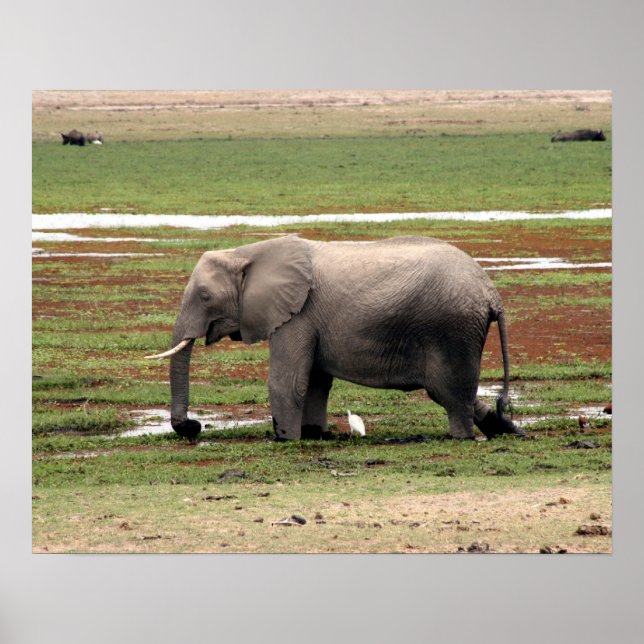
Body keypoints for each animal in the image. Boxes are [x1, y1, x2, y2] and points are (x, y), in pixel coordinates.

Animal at [146, 235, 526, 442]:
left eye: (205, 297)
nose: (193, 426)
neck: (247, 252)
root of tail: (491, 293)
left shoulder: (297, 314)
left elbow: (288, 381)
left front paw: (285, 440)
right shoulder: (307, 319)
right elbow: (315, 382)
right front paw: (316, 434)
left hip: (452, 329)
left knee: (450, 394)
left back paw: (462, 437)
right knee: (461, 394)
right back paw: (510, 431)